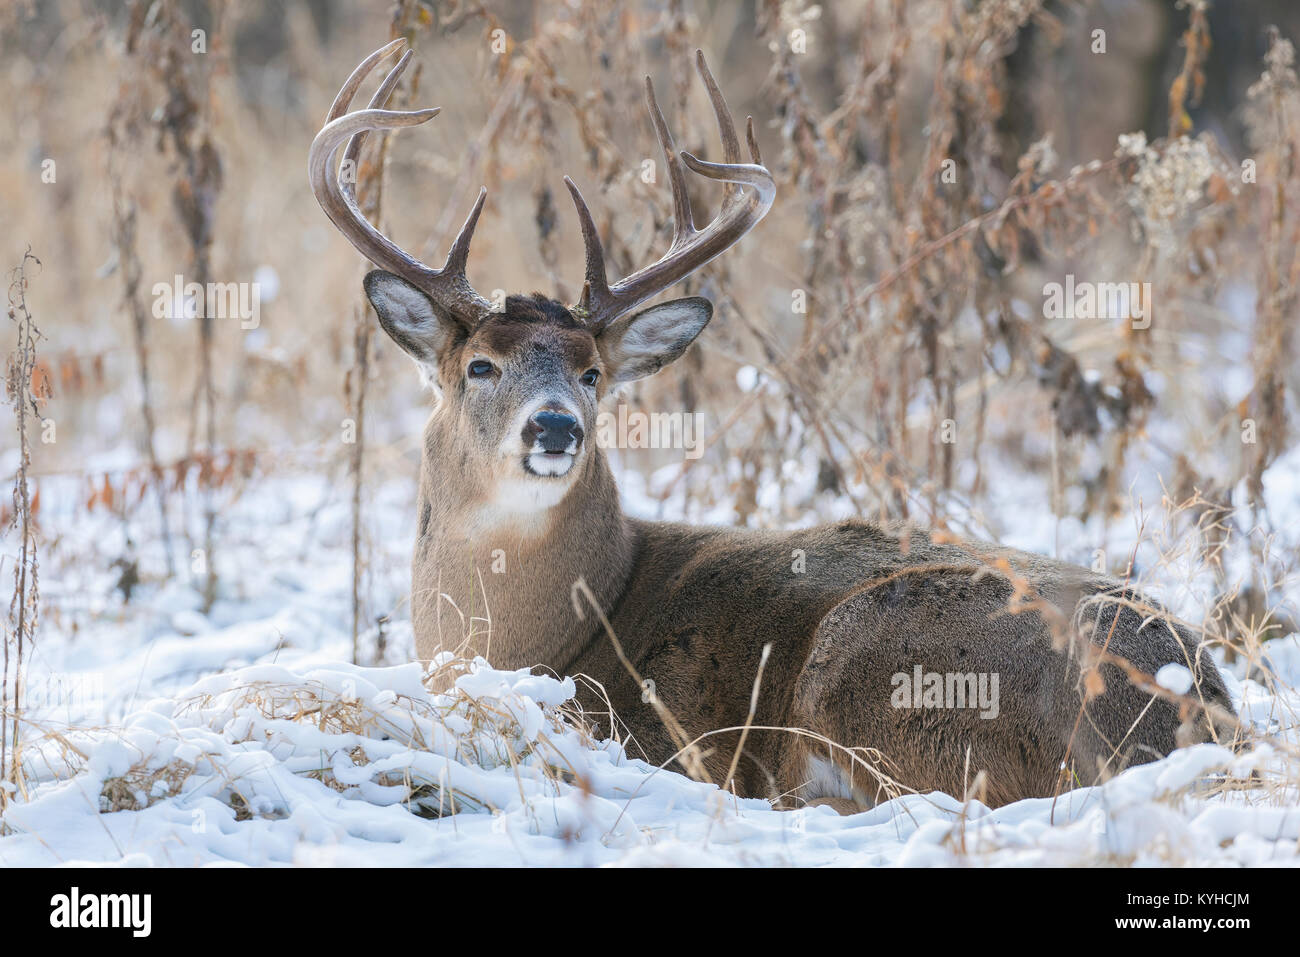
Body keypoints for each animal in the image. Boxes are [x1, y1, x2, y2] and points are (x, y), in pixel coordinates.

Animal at [310, 39, 1236, 811]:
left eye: (592, 373)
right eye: (480, 366)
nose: (555, 427)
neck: (558, 630)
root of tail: (1195, 715)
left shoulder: (653, 728)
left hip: (875, 662)